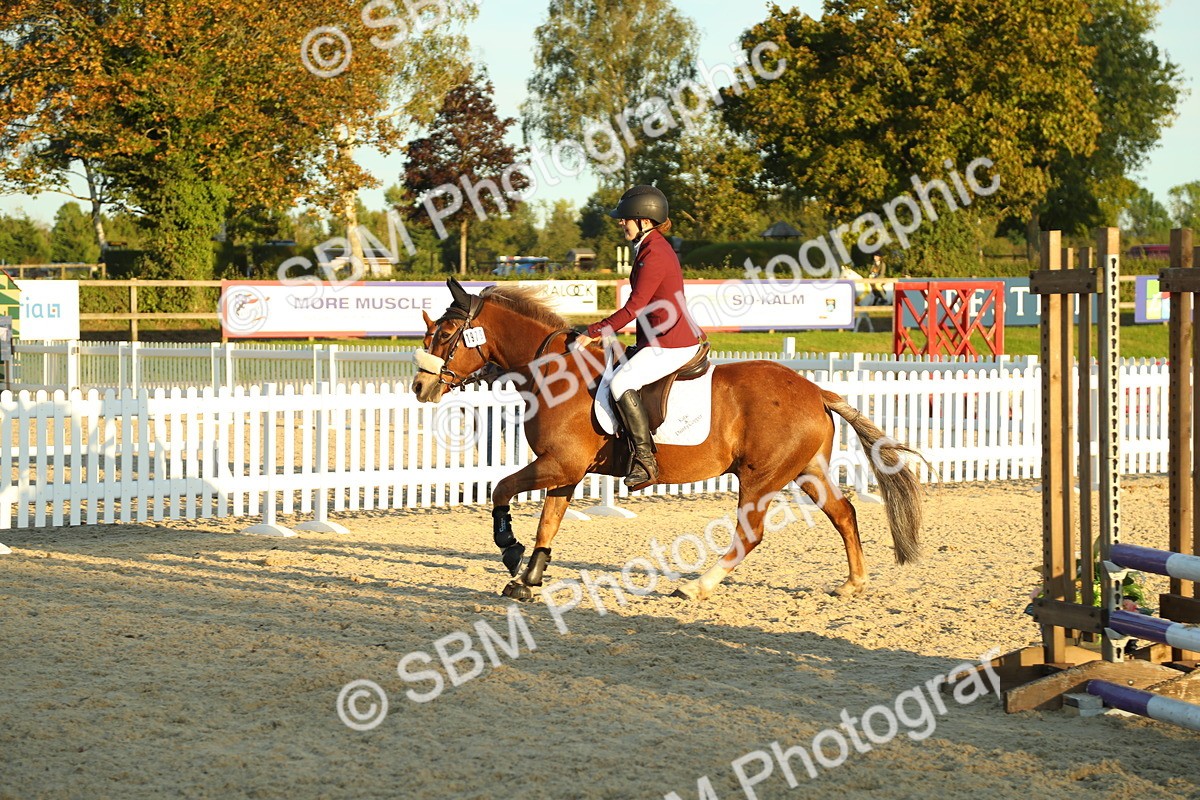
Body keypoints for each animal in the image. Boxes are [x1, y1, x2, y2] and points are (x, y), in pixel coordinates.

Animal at [412, 278, 923, 602]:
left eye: (447, 334)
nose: (420, 387)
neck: (554, 373)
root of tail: (817, 391)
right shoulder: (566, 471)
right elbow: (548, 523)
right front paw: (527, 577)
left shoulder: (560, 464)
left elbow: (501, 489)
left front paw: (510, 550)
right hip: (806, 470)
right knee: (844, 514)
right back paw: (853, 583)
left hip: (760, 478)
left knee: (750, 534)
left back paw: (697, 586)